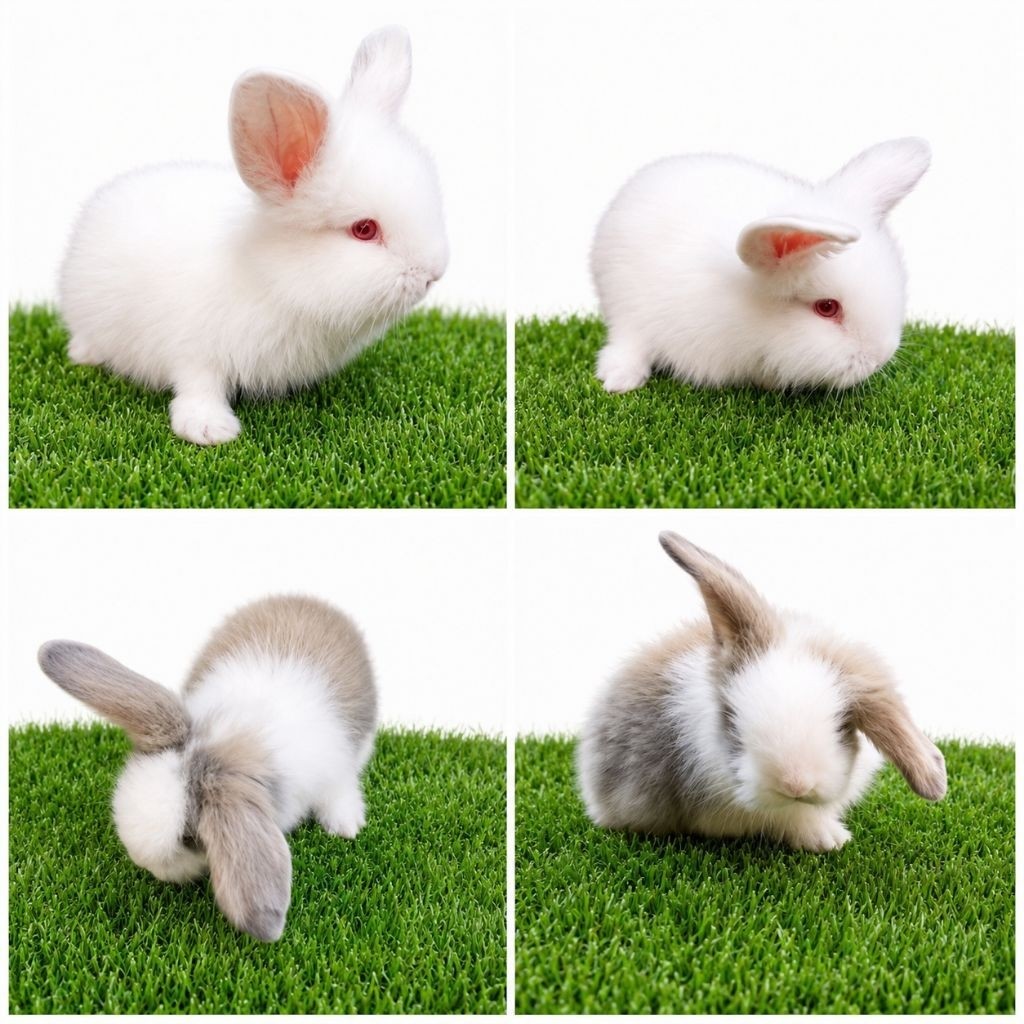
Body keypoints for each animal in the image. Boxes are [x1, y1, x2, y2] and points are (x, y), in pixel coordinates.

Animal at [37, 594, 377, 941]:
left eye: (189, 839)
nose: (144, 864)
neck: (237, 736)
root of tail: (308, 600)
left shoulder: (335, 772)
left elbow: (340, 792)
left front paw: (346, 827)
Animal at [59, 26, 448, 445]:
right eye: (364, 229)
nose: (434, 273)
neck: (275, 281)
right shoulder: (195, 351)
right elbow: (197, 387)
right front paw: (210, 430)